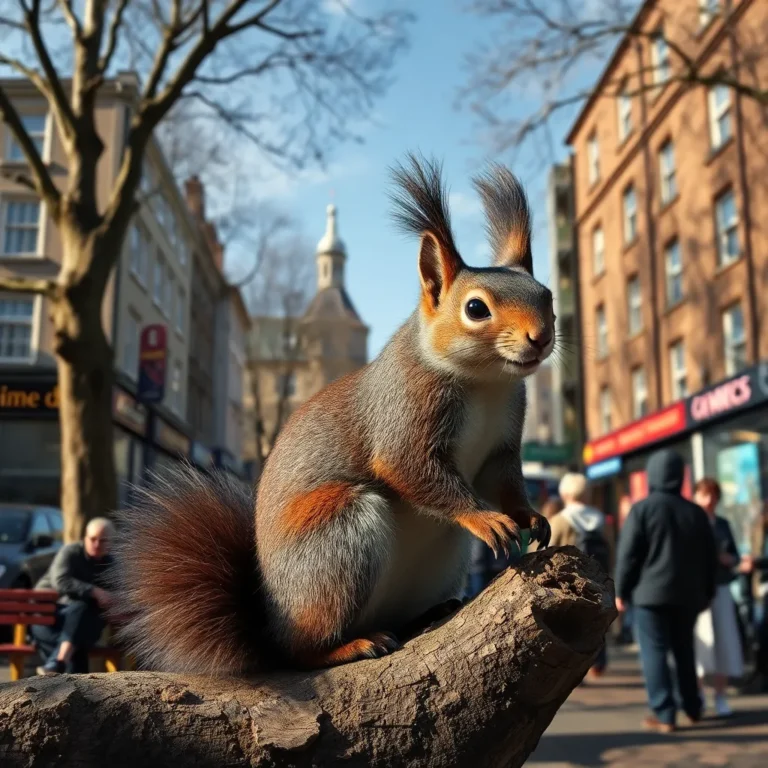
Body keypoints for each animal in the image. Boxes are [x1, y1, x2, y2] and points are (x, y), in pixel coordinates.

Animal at [111, 154, 555, 676]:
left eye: (546, 296)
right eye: (475, 308)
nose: (540, 338)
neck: (485, 382)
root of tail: (270, 626)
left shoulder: (503, 442)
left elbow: (503, 481)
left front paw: (529, 516)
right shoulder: (403, 413)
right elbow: (410, 467)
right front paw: (484, 517)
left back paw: (429, 614)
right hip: (337, 536)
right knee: (302, 650)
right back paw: (350, 646)